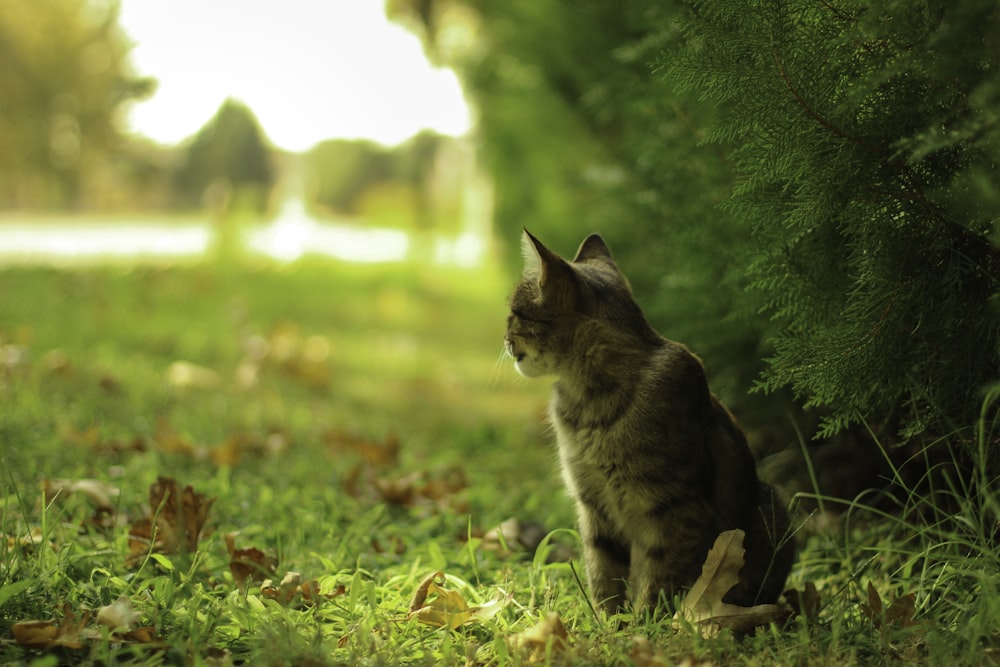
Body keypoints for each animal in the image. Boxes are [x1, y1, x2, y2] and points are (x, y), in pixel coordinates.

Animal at [504, 231, 792, 616]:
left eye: (516, 313)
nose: (505, 340)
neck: (587, 402)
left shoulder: (674, 510)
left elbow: (658, 579)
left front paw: (644, 624)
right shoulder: (593, 505)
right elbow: (603, 572)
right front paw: (607, 621)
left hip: (771, 506)